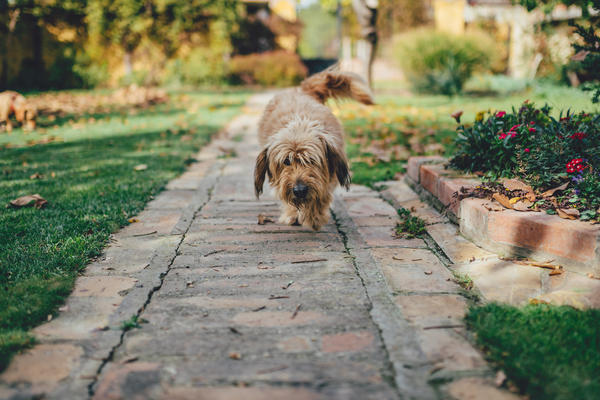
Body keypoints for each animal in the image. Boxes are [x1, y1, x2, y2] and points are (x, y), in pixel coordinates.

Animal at [254, 67, 376, 230]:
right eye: (286, 161)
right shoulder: (284, 183)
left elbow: (320, 194)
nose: (299, 190)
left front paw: (313, 217)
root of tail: (301, 89)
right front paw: (293, 214)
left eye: (311, 160)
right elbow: (286, 193)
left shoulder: (327, 178)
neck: (298, 124)